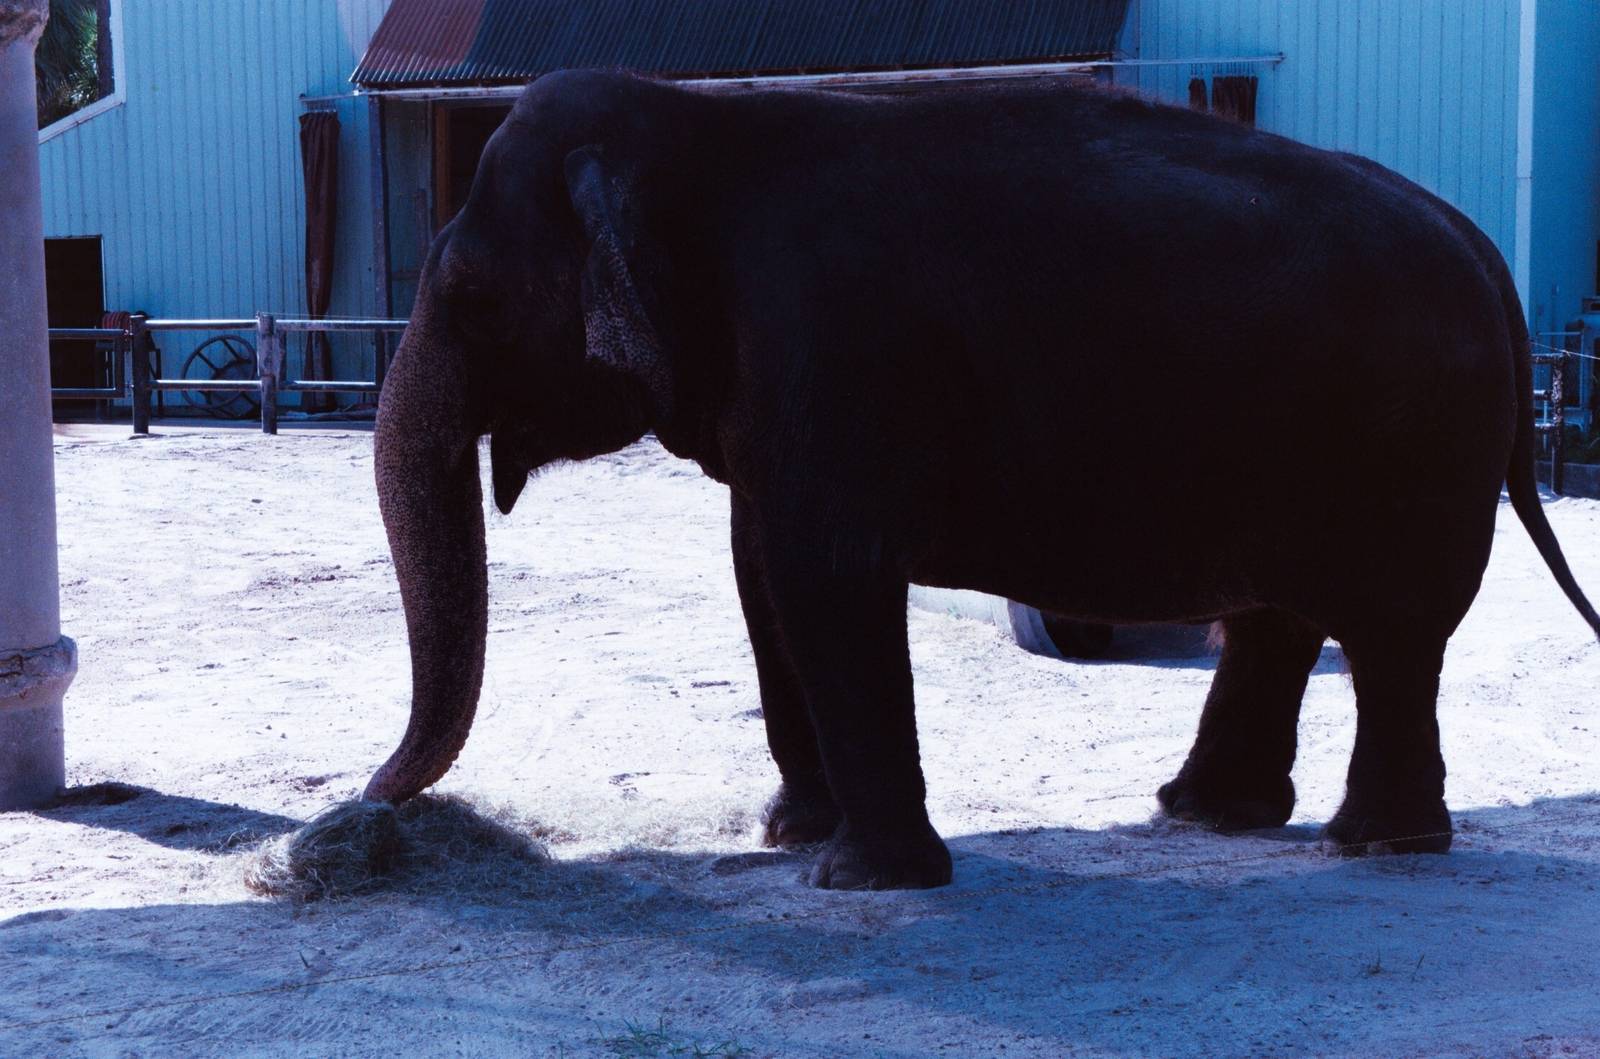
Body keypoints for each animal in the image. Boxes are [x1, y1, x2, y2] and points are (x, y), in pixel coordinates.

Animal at [361, 69, 1600, 890]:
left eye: (470, 293)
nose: (366, 799)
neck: (701, 119)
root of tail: (1482, 250)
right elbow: (762, 576)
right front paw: (793, 836)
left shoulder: (836, 355)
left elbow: (824, 578)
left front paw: (862, 876)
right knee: (1280, 620)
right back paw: (1207, 816)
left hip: (1414, 449)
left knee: (1391, 635)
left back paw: (1373, 844)